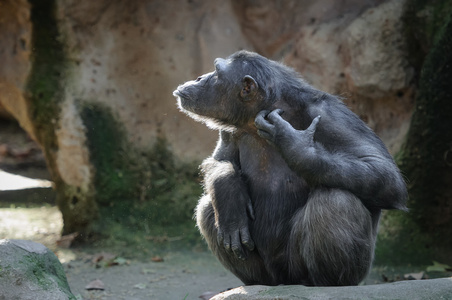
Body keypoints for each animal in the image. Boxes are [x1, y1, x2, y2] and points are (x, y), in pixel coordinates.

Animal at [172, 49, 406, 286]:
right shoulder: (230, 129)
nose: (200, 77)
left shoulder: (331, 116)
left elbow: (382, 170)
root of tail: (285, 279)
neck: (269, 109)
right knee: (207, 207)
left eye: (217, 73)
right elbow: (219, 160)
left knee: (336, 200)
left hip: (306, 266)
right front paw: (228, 192)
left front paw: (294, 144)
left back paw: (328, 283)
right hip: (270, 271)